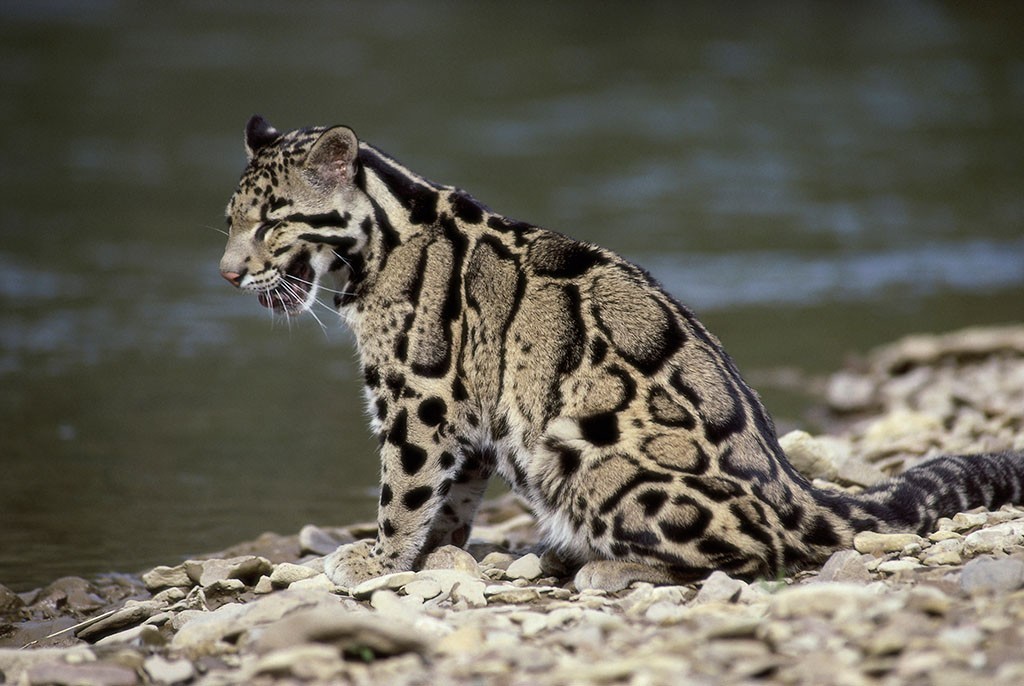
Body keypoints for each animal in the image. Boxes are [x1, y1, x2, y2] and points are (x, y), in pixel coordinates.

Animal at [222, 114, 1024, 589]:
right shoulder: (466, 415)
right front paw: (438, 553)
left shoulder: (419, 398)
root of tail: (795, 491)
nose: (227, 274)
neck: (384, 236)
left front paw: (380, 559)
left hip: (590, 461)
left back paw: (599, 564)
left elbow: (405, 489)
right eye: (229, 220)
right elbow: (452, 497)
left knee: (756, 555)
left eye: (271, 223)